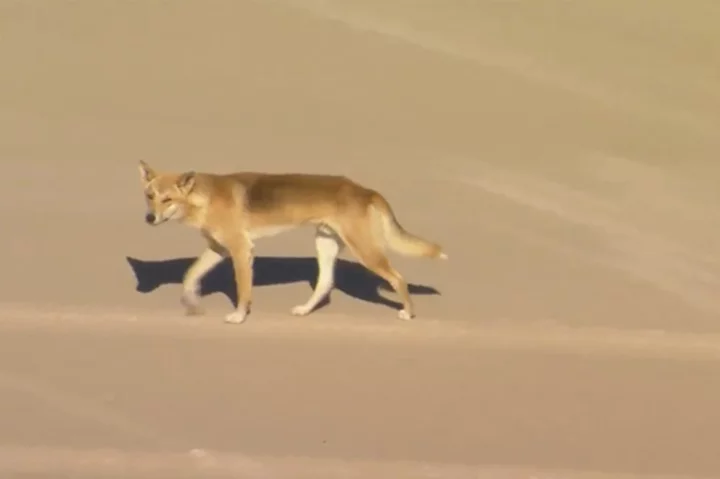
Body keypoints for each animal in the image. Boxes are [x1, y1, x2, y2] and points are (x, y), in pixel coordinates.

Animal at [138, 159, 448, 324]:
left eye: (168, 199)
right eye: (150, 196)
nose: (149, 218)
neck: (205, 199)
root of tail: (366, 190)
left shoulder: (240, 249)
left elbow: (243, 290)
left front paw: (239, 316)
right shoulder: (218, 248)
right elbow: (190, 274)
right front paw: (191, 303)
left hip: (365, 251)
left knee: (398, 278)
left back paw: (408, 313)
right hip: (325, 244)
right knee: (325, 284)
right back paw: (304, 310)